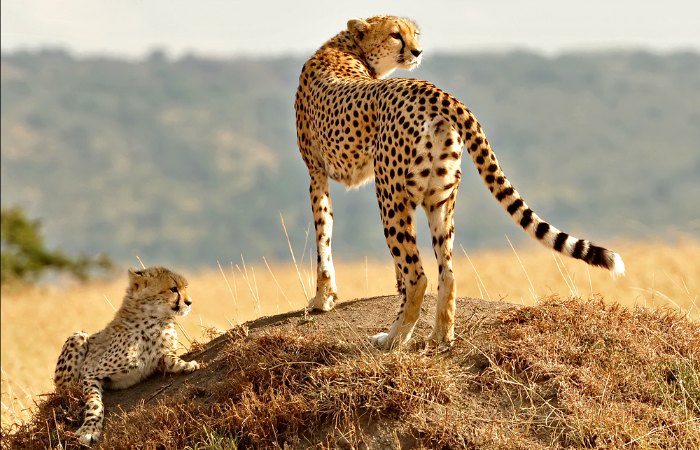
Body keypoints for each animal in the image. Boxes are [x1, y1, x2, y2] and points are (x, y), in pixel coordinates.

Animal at [53, 266, 200, 445]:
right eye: (173, 289)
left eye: (185, 287)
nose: (189, 302)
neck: (155, 322)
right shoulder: (89, 373)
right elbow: (95, 403)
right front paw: (89, 429)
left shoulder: (157, 359)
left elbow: (168, 358)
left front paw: (185, 364)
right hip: (78, 336)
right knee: (63, 390)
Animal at [294, 15, 625, 350]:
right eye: (395, 35)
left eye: (414, 33)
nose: (417, 51)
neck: (347, 47)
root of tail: (429, 89)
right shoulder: (321, 172)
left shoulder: (316, 173)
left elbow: (323, 235)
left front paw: (322, 299)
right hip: (440, 197)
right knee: (447, 273)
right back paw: (441, 335)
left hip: (390, 195)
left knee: (418, 276)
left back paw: (393, 338)